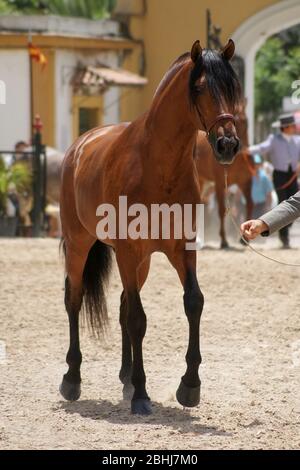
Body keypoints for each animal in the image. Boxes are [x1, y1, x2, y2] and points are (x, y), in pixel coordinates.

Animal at [59, 40, 240, 414]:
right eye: (200, 88)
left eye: (233, 88)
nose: (227, 145)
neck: (158, 166)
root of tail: (79, 146)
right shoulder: (129, 251)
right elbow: (138, 320)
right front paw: (142, 395)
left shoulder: (181, 249)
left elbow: (193, 302)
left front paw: (189, 385)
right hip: (81, 245)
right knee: (75, 299)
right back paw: (72, 379)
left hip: (140, 263)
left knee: (123, 304)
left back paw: (126, 377)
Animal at [196, 102, 254, 250]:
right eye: (236, 120)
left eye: (246, 121)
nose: (235, 147)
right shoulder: (220, 185)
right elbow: (221, 210)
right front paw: (224, 240)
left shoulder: (245, 183)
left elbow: (250, 204)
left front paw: (244, 238)